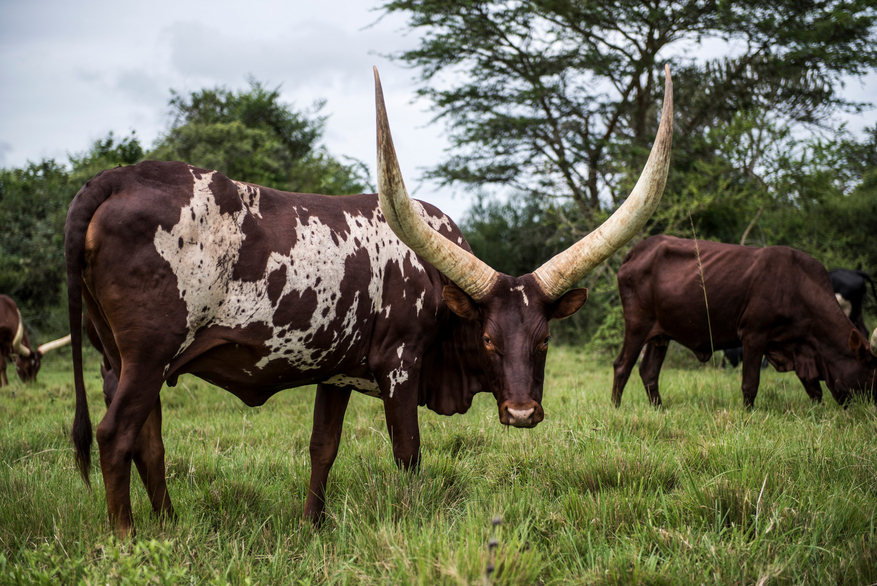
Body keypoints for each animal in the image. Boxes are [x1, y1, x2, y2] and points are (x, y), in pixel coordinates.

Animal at [65, 65, 676, 532]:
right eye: (488, 339)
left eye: (544, 339)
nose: (523, 413)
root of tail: (112, 181)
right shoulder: (399, 366)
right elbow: (408, 452)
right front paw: (412, 521)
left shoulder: (334, 373)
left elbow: (323, 448)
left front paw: (311, 526)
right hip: (149, 355)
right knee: (115, 436)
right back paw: (126, 540)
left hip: (118, 360)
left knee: (148, 442)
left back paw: (167, 528)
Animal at [608, 235, 876, 408]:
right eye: (873, 371)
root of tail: (637, 250)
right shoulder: (754, 336)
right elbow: (750, 383)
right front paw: (748, 414)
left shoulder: (799, 349)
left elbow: (814, 389)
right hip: (638, 325)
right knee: (622, 366)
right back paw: (616, 408)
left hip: (660, 335)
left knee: (648, 371)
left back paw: (659, 409)